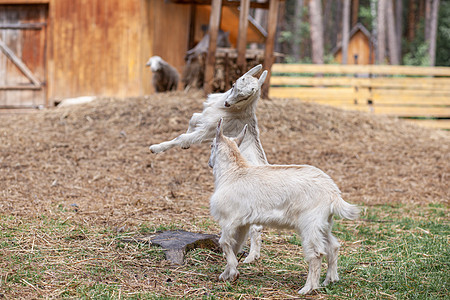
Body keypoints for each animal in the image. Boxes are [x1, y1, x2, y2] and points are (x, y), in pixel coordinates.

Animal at [151, 64, 268, 264]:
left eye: (247, 95)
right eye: (234, 84)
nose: (227, 103)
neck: (238, 111)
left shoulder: (209, 129)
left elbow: (183, 135)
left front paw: (156, 148)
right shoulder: (207, 120)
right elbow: (193, 118)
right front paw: (184, 146)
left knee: (255, 228)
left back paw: (250, 257)